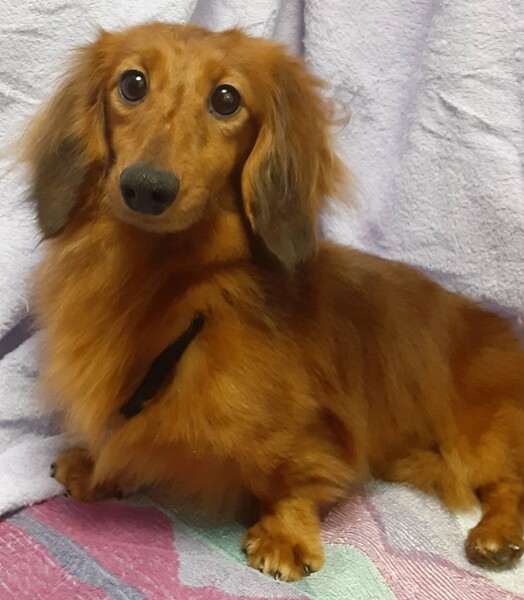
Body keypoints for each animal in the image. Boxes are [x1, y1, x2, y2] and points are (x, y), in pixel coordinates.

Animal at [22, 22, 524, 581]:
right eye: (132, 84)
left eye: (226, 98)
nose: (146, 188)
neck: (168, 282)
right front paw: (96, 468)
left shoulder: (313, 436)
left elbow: (293, 477)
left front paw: (285, 536)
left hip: (482, 432)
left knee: (508, 481)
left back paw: (497, 534)